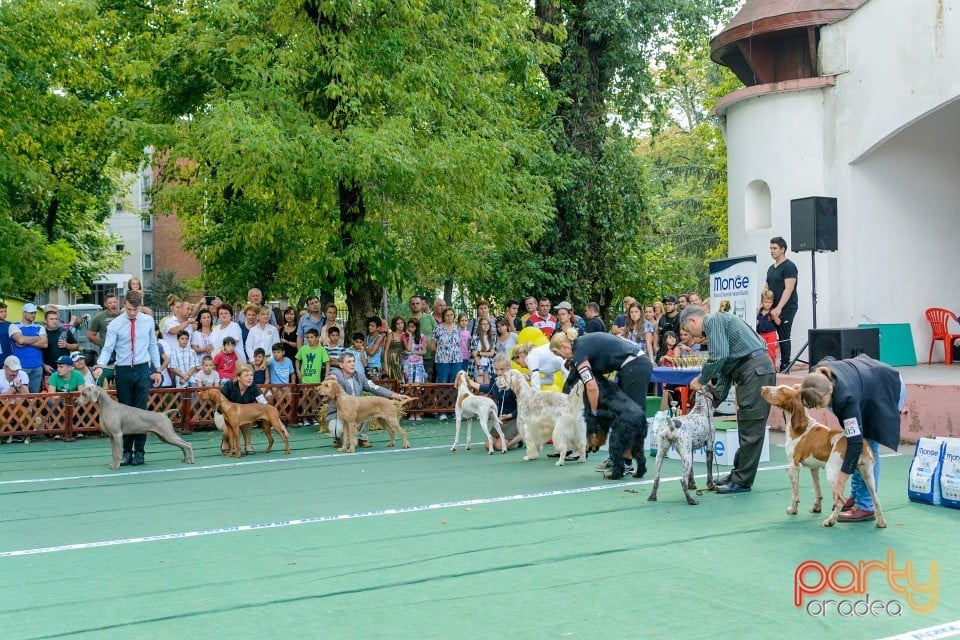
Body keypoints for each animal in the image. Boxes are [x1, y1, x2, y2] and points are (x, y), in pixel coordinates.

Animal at [760, 382, 888, 528]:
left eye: (781, 391)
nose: (762, 388)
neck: (800, 426)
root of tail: (862, 444)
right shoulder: (813, 468)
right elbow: (817, 490)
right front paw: (816, 507)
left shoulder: (793, 466)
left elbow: (794, 493)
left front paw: (793, 510)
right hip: (867, 475)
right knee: (876, 499)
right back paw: (881, 523)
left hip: (833, 474)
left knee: (840, 501)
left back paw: (830, 520)